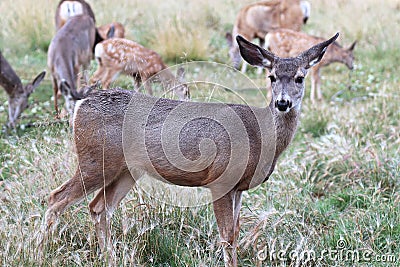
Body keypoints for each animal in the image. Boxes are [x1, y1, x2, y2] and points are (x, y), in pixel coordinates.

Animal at [44, 29, 338, 266]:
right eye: (272, 76)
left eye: (300, 78)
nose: (282, 103)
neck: (259, 135)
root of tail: (81, 105)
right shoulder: (220, 179)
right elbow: (226, 236)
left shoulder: (239, 187)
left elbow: (235, 232)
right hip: (94, 159)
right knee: (56, 198)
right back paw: (45, 248)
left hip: (127, 170)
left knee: (98, 207)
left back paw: (111, 257)